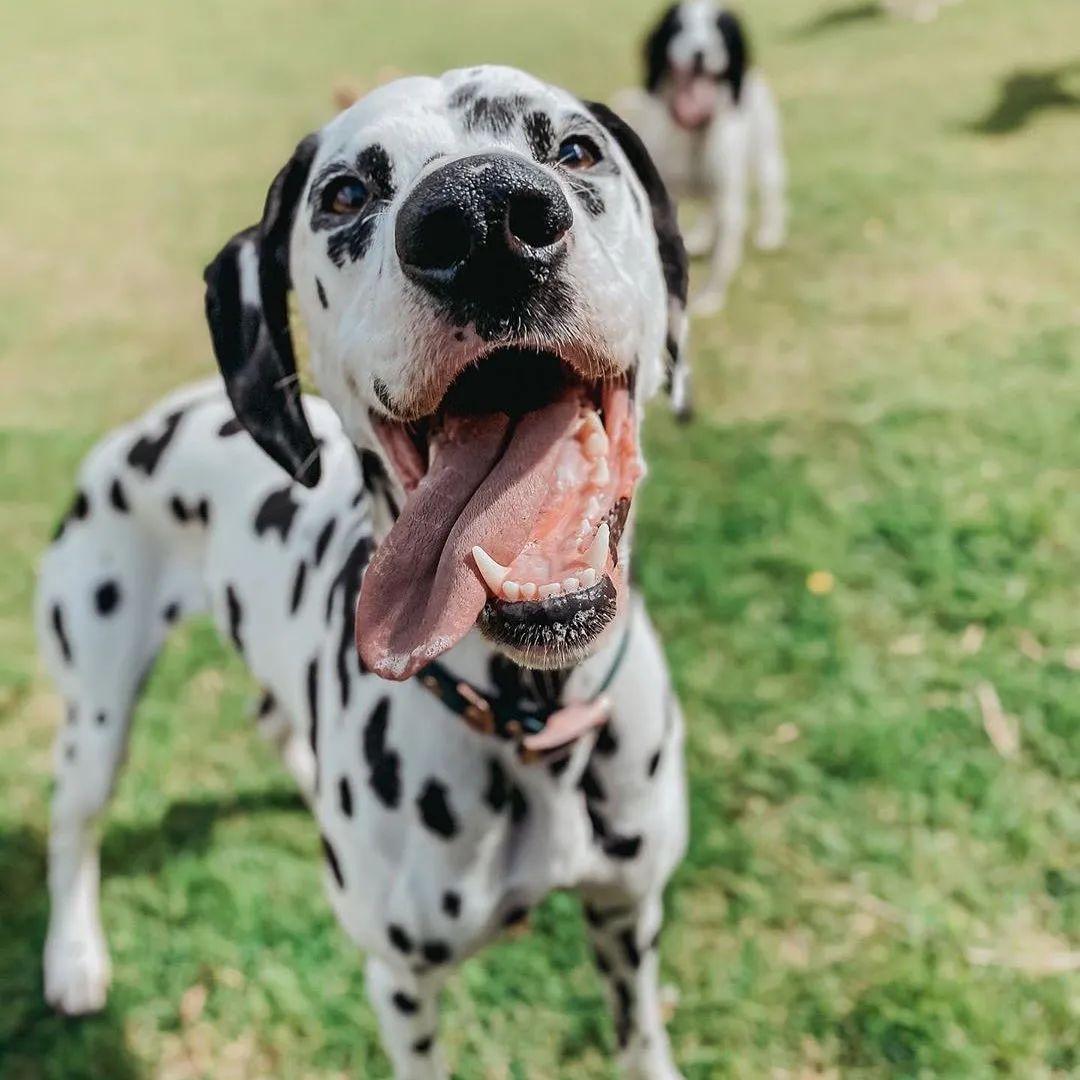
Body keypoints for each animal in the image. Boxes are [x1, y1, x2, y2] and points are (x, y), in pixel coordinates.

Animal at [38, 67, 691, 1080]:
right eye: (345, 194)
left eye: (576, 150)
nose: (484, 216)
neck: (530, 721)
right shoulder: (401, 984)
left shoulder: (629, 919)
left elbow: (640, 1038)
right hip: (95, 714)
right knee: (73, 825)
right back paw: (72, 958)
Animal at [617, 2, 786, 315]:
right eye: (679, 26)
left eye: (720, 29)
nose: (700, 54)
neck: (693, 130)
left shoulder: (729, 198)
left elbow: (722, 258)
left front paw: (711, 298)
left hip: (767, 157)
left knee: (772, 193)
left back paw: (771, 233)